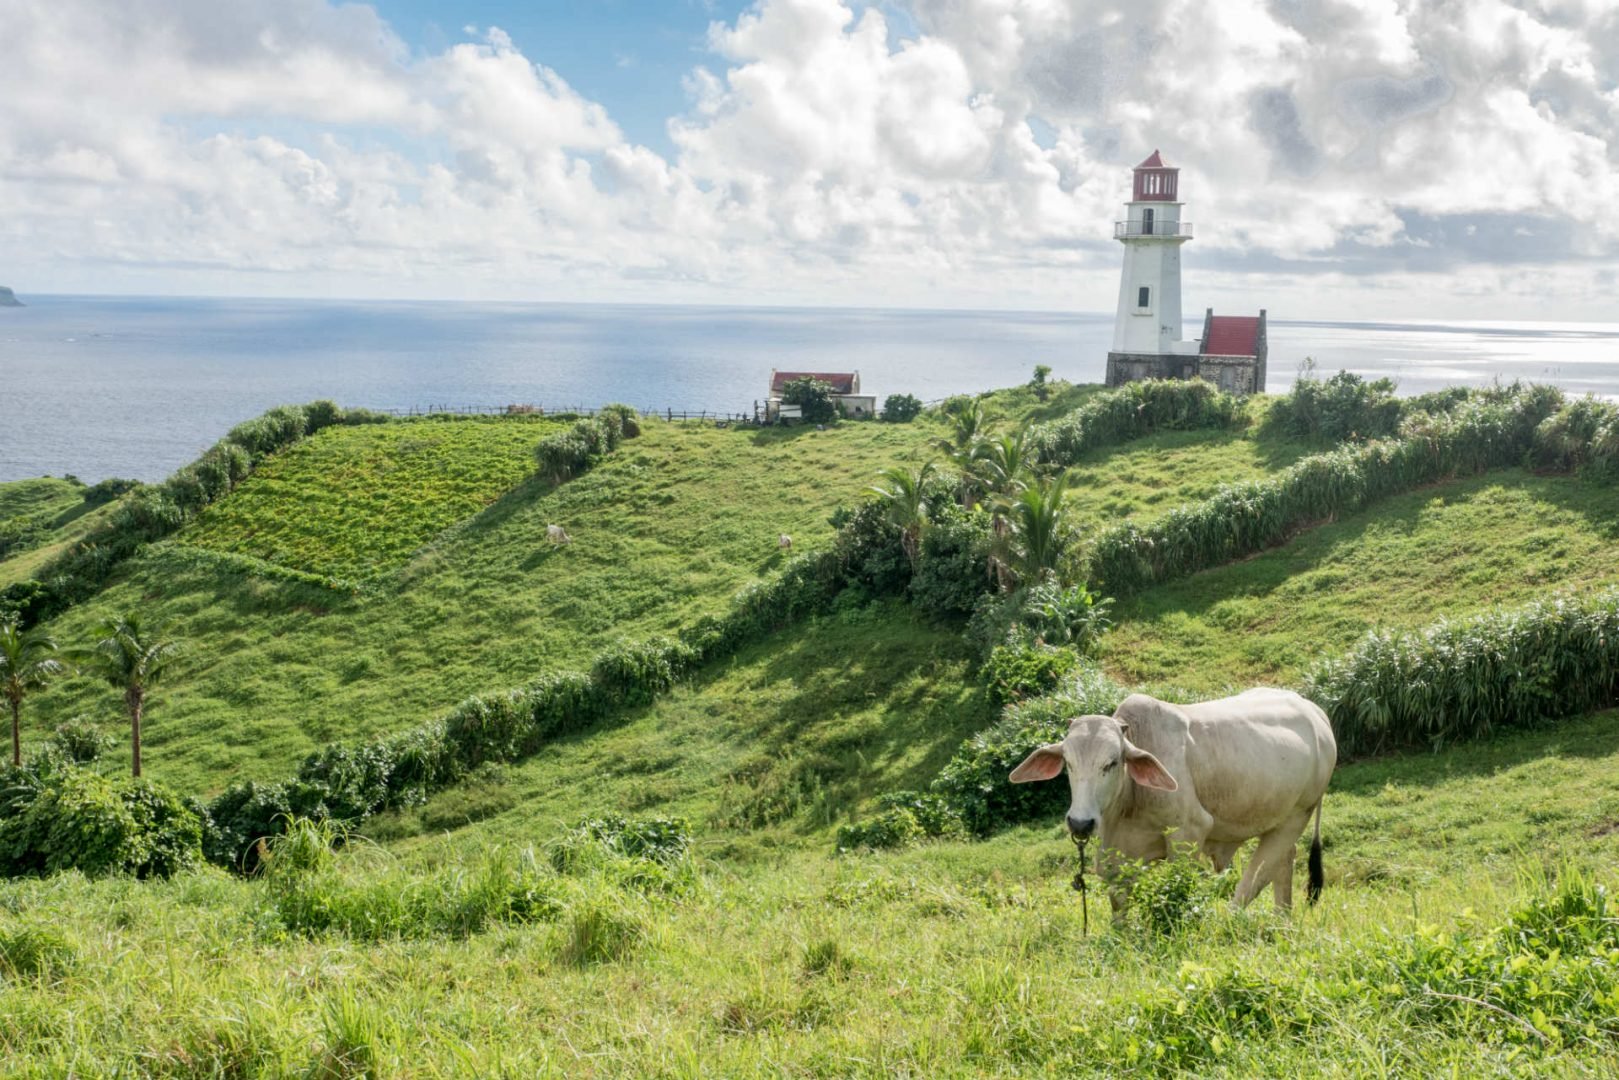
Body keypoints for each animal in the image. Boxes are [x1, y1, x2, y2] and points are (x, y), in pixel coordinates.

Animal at [1009, 688, 1336, 914]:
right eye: (1068, 763)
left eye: (1111, 763)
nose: (1080, 822)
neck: (1129, 801)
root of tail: (1314, 711)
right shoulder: (1116, 854)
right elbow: (1119, 906)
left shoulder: (1188, 834)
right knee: (1284, 862)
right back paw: (1282, 922)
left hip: (1298, 814)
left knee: (1251, 883)